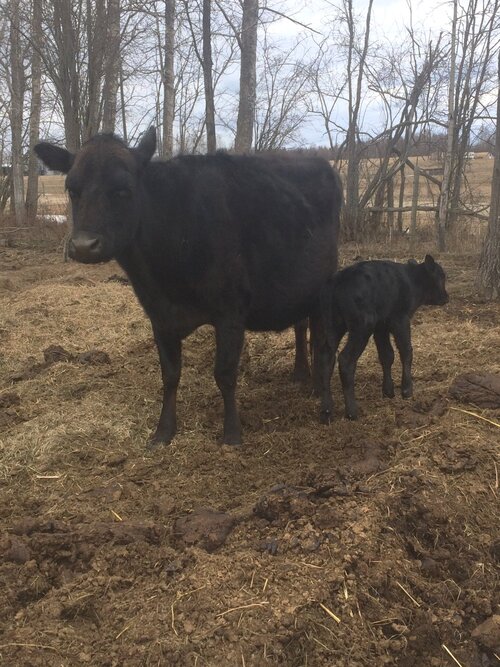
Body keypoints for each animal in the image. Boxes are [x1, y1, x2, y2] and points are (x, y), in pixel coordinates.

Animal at [34, 129, 340, 446]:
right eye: (72, 189)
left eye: (123, 190)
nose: (84, 245)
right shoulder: (160, 317)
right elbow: (170, 375)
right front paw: (163, 431)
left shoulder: (231, 312)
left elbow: (225, 374)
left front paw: (232, 433)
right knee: (301, 325)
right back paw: (301, 375)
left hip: (322, 285)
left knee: (319, 335)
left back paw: (318, 386)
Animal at [318, 253, 452, 420]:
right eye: (441, 276)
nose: (446, 297)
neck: (412, 281)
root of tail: (340, 278)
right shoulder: (400, 319)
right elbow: (406, 351)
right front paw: (407, 390)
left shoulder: (381, 327)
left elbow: (387, 355)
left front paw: (388, 391)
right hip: (362, 327)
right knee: (345, 360)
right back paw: (352, 411)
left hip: (333, 325)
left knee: (326, 357)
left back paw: (326, 409)